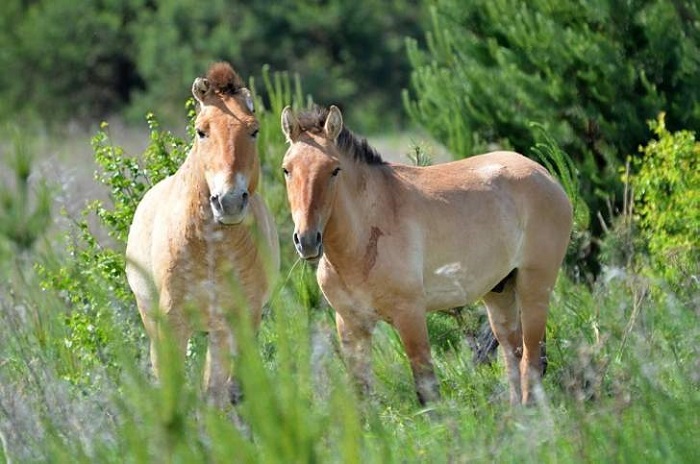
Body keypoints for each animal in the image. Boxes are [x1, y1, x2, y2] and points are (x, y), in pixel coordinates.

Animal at [126, 61, 278, 406]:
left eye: (254, 130)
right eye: (201, 130)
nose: (229, 201)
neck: (211, 247)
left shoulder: (245, 318)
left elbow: (230, 390)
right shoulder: (171, 320)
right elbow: (172, 386)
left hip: (219, 330)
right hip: (153, 320)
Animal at [282, 105, 572, 406]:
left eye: (334, 170)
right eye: (287, 170)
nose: (307, 240)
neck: (362, 240)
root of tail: (546, 176)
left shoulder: (410, 316)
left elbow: (426, 390)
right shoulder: (351, 323)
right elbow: (361, 394)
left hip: (534, 291)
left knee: (531, 362)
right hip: (499, 295)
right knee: (513, 359)